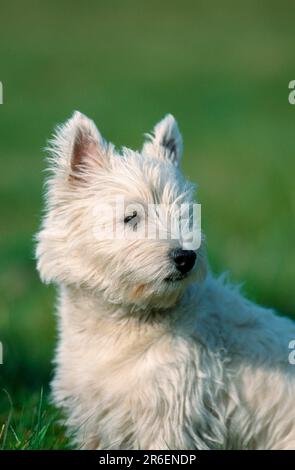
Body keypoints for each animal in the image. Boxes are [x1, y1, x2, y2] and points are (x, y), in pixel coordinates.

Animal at [35, 112, 295, 450]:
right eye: (131, 216)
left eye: (187, 215)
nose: (186, 257)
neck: (120, 324)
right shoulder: (97, 421)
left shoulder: (169, 417)